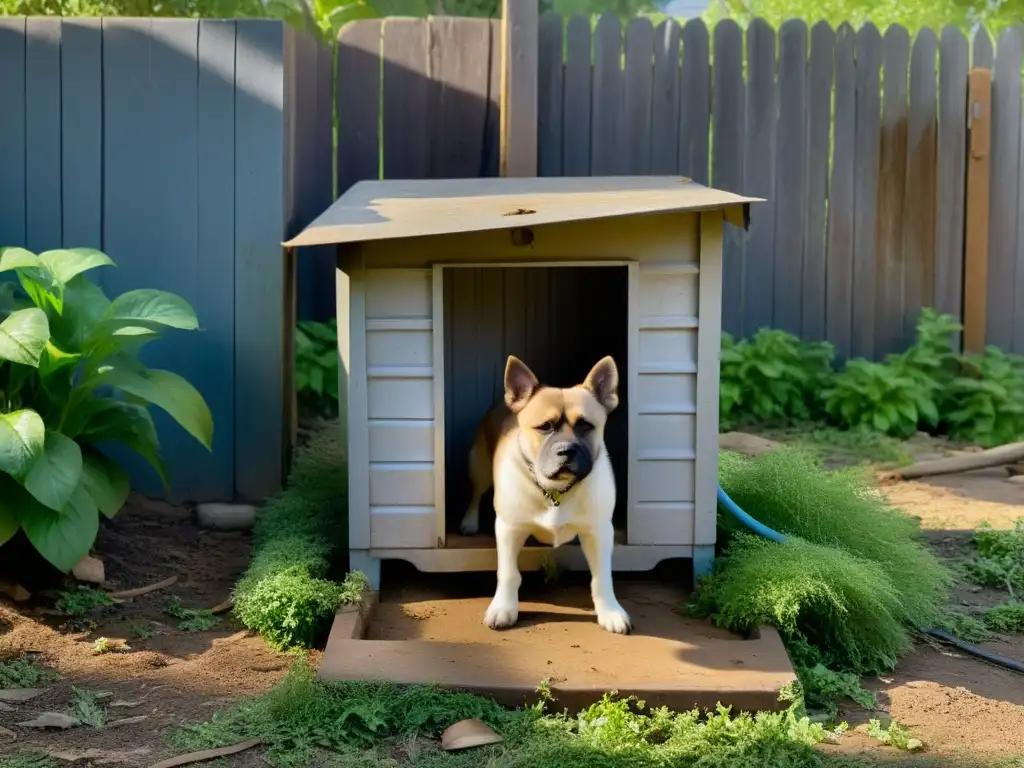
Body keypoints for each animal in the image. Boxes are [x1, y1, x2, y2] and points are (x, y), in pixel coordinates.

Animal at [458, 354, 630, 638]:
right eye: (545, 427)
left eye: (586, 426)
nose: (566, 450)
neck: (555, 490)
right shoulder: (508, 529)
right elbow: (508, 573)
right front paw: (504, 608)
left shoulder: (599, 531)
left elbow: (602, 577)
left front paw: (610, 611)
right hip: (478, 467)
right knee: (475, 495)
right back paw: (469, 522)